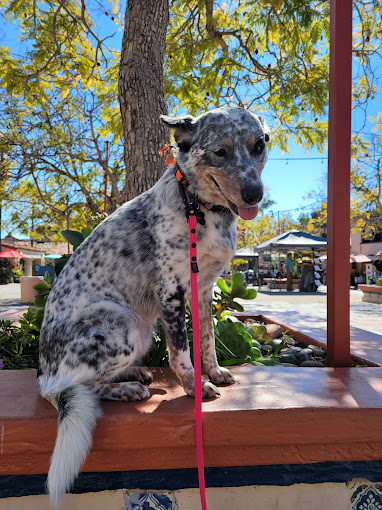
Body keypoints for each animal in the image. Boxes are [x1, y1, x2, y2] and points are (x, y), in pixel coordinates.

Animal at [36, 106, 268, 506]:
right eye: (219, 152)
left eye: (259, 145)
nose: (255, 194)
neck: (199, 208)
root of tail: (45, 376)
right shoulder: (171, 291)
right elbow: (181, 355)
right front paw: (194, 388)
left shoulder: (204, 288)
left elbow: (207, 340)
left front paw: (214, 372)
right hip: (126, 324)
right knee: (87, 387)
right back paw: (127, 388)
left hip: (142, 329)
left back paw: (134, 373)